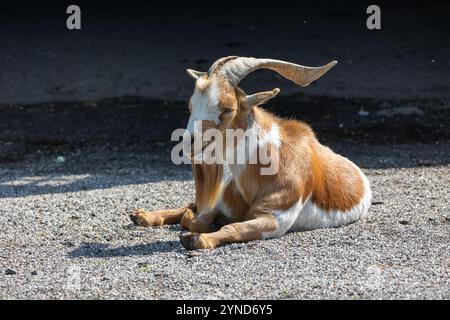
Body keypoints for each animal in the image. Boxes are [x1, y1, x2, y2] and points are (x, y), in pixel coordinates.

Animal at [130, 57, 372, 250]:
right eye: (191, 106)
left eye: (227, 109)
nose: (189, 145)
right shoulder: (221, 203)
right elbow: (198, 217)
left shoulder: (275, 219)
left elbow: (232, 227)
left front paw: (197, 239)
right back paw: (141, 216)